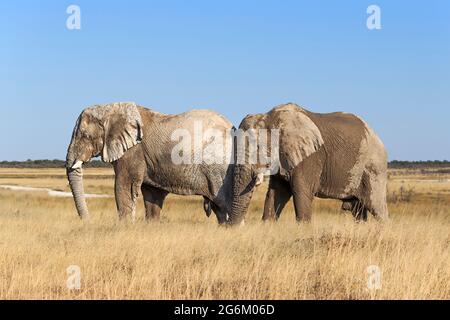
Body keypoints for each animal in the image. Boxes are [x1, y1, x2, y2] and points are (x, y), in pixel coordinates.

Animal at [67, 101, 236, 224]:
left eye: (86, 136)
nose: (88, 221)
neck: (111, 108)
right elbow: (152, 195)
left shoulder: (134, 151)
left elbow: (123, 186)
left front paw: (124, 228)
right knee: (220, 209)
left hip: (219, 170)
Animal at [229, 104, 390, 224]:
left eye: (258, 147)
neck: (271, 118)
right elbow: (276, 193)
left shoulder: (309, 157)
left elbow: (301, 191)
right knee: (358, 210)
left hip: (374, 168)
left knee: (378, 208)